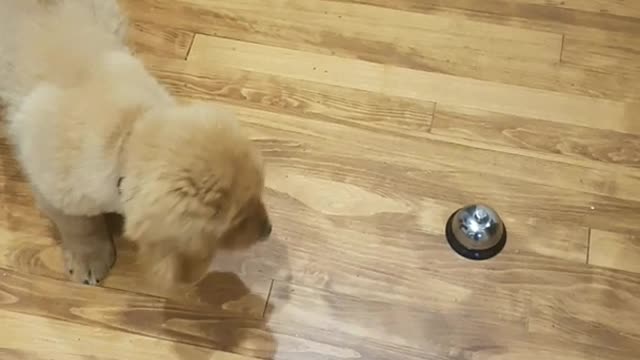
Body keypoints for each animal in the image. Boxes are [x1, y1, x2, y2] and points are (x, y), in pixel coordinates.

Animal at [0, 0, 270, 286]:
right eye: (236, 221)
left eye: (259, 195)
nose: (269, 230)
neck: (124, 137)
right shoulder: (52, 188)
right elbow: (79, 226)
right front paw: (89, 259)